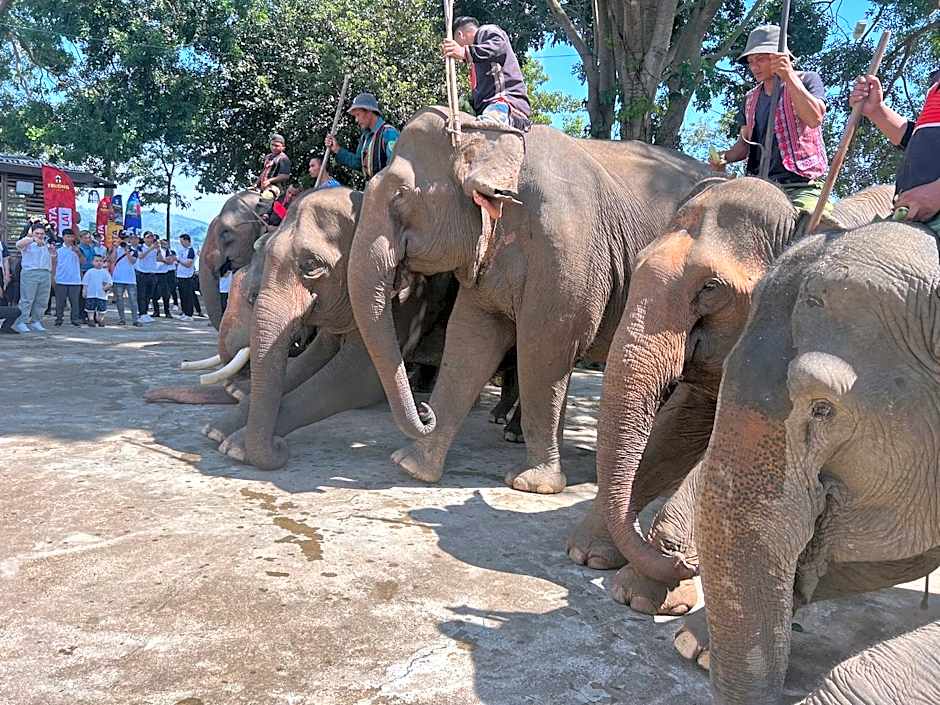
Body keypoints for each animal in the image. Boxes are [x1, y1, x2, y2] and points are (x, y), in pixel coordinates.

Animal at [348, 107, 712, 494]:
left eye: (400, 197)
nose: (424, 411)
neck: (497, 140)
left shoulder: (567, 247)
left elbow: (545, 348)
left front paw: (532, 485)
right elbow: (469, 341)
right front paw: (412, 466)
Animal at [566, 177, 895, 608]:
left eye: (711, 287)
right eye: (633, 266)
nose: (685, 561)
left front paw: (648, 594)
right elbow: (679, 429)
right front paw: (588, 555)